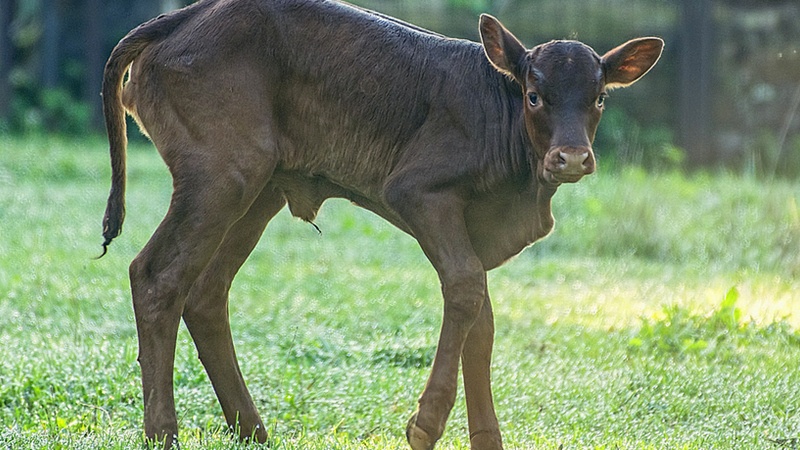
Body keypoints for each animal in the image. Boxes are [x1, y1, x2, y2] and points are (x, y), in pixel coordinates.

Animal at [100, 1, 664, 448]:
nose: (571, 158)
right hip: (222, 175)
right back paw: (164, 433)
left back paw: (253, 430)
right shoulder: (418, 192)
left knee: (206, 291)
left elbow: (482, 323)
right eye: (534, 95)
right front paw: (426, 423)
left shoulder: (476, 229)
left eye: (598, 98)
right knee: (157, 277)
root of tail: (179, 19)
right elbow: (466, 289)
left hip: (259, 188)